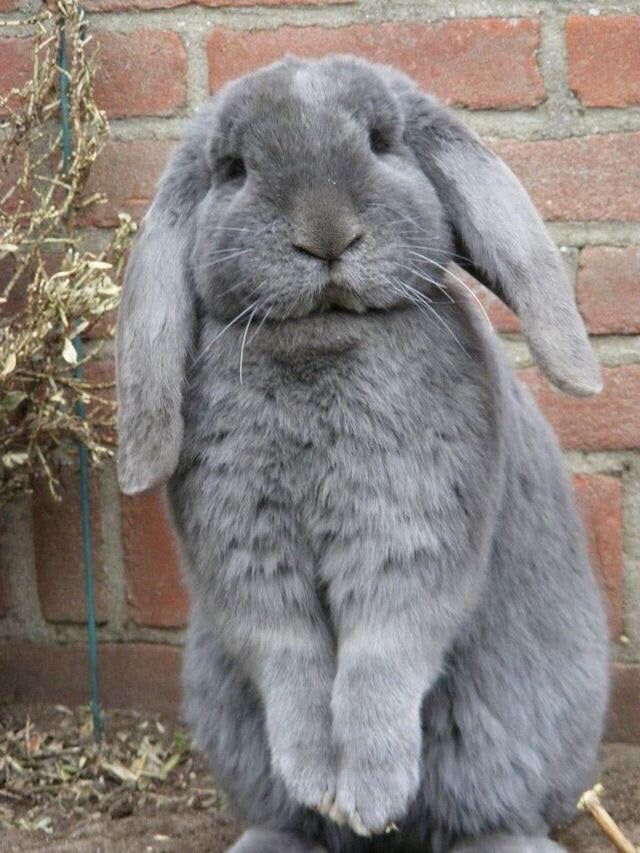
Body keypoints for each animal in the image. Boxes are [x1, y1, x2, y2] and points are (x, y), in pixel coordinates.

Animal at [116, 56, 608, 848]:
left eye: (381, 142)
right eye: (234, 169)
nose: (326, 236)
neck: (322, 341)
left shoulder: (408, 537)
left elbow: (383, 656)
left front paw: (371, 796)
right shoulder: (249, 558)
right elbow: (288, 657)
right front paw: (323, 785)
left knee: (491, 813)